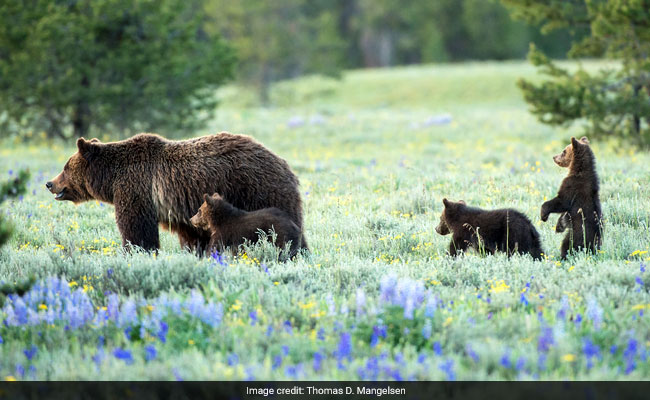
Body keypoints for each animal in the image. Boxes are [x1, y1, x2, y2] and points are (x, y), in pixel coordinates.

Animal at [46, 133, 308, 253]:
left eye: (65, 167)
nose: (49, 183)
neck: (110, 180)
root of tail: (284, 164)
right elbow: (192, 236)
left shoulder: (136, 188)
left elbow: (136, 228)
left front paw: (137, 252)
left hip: (258, 190)